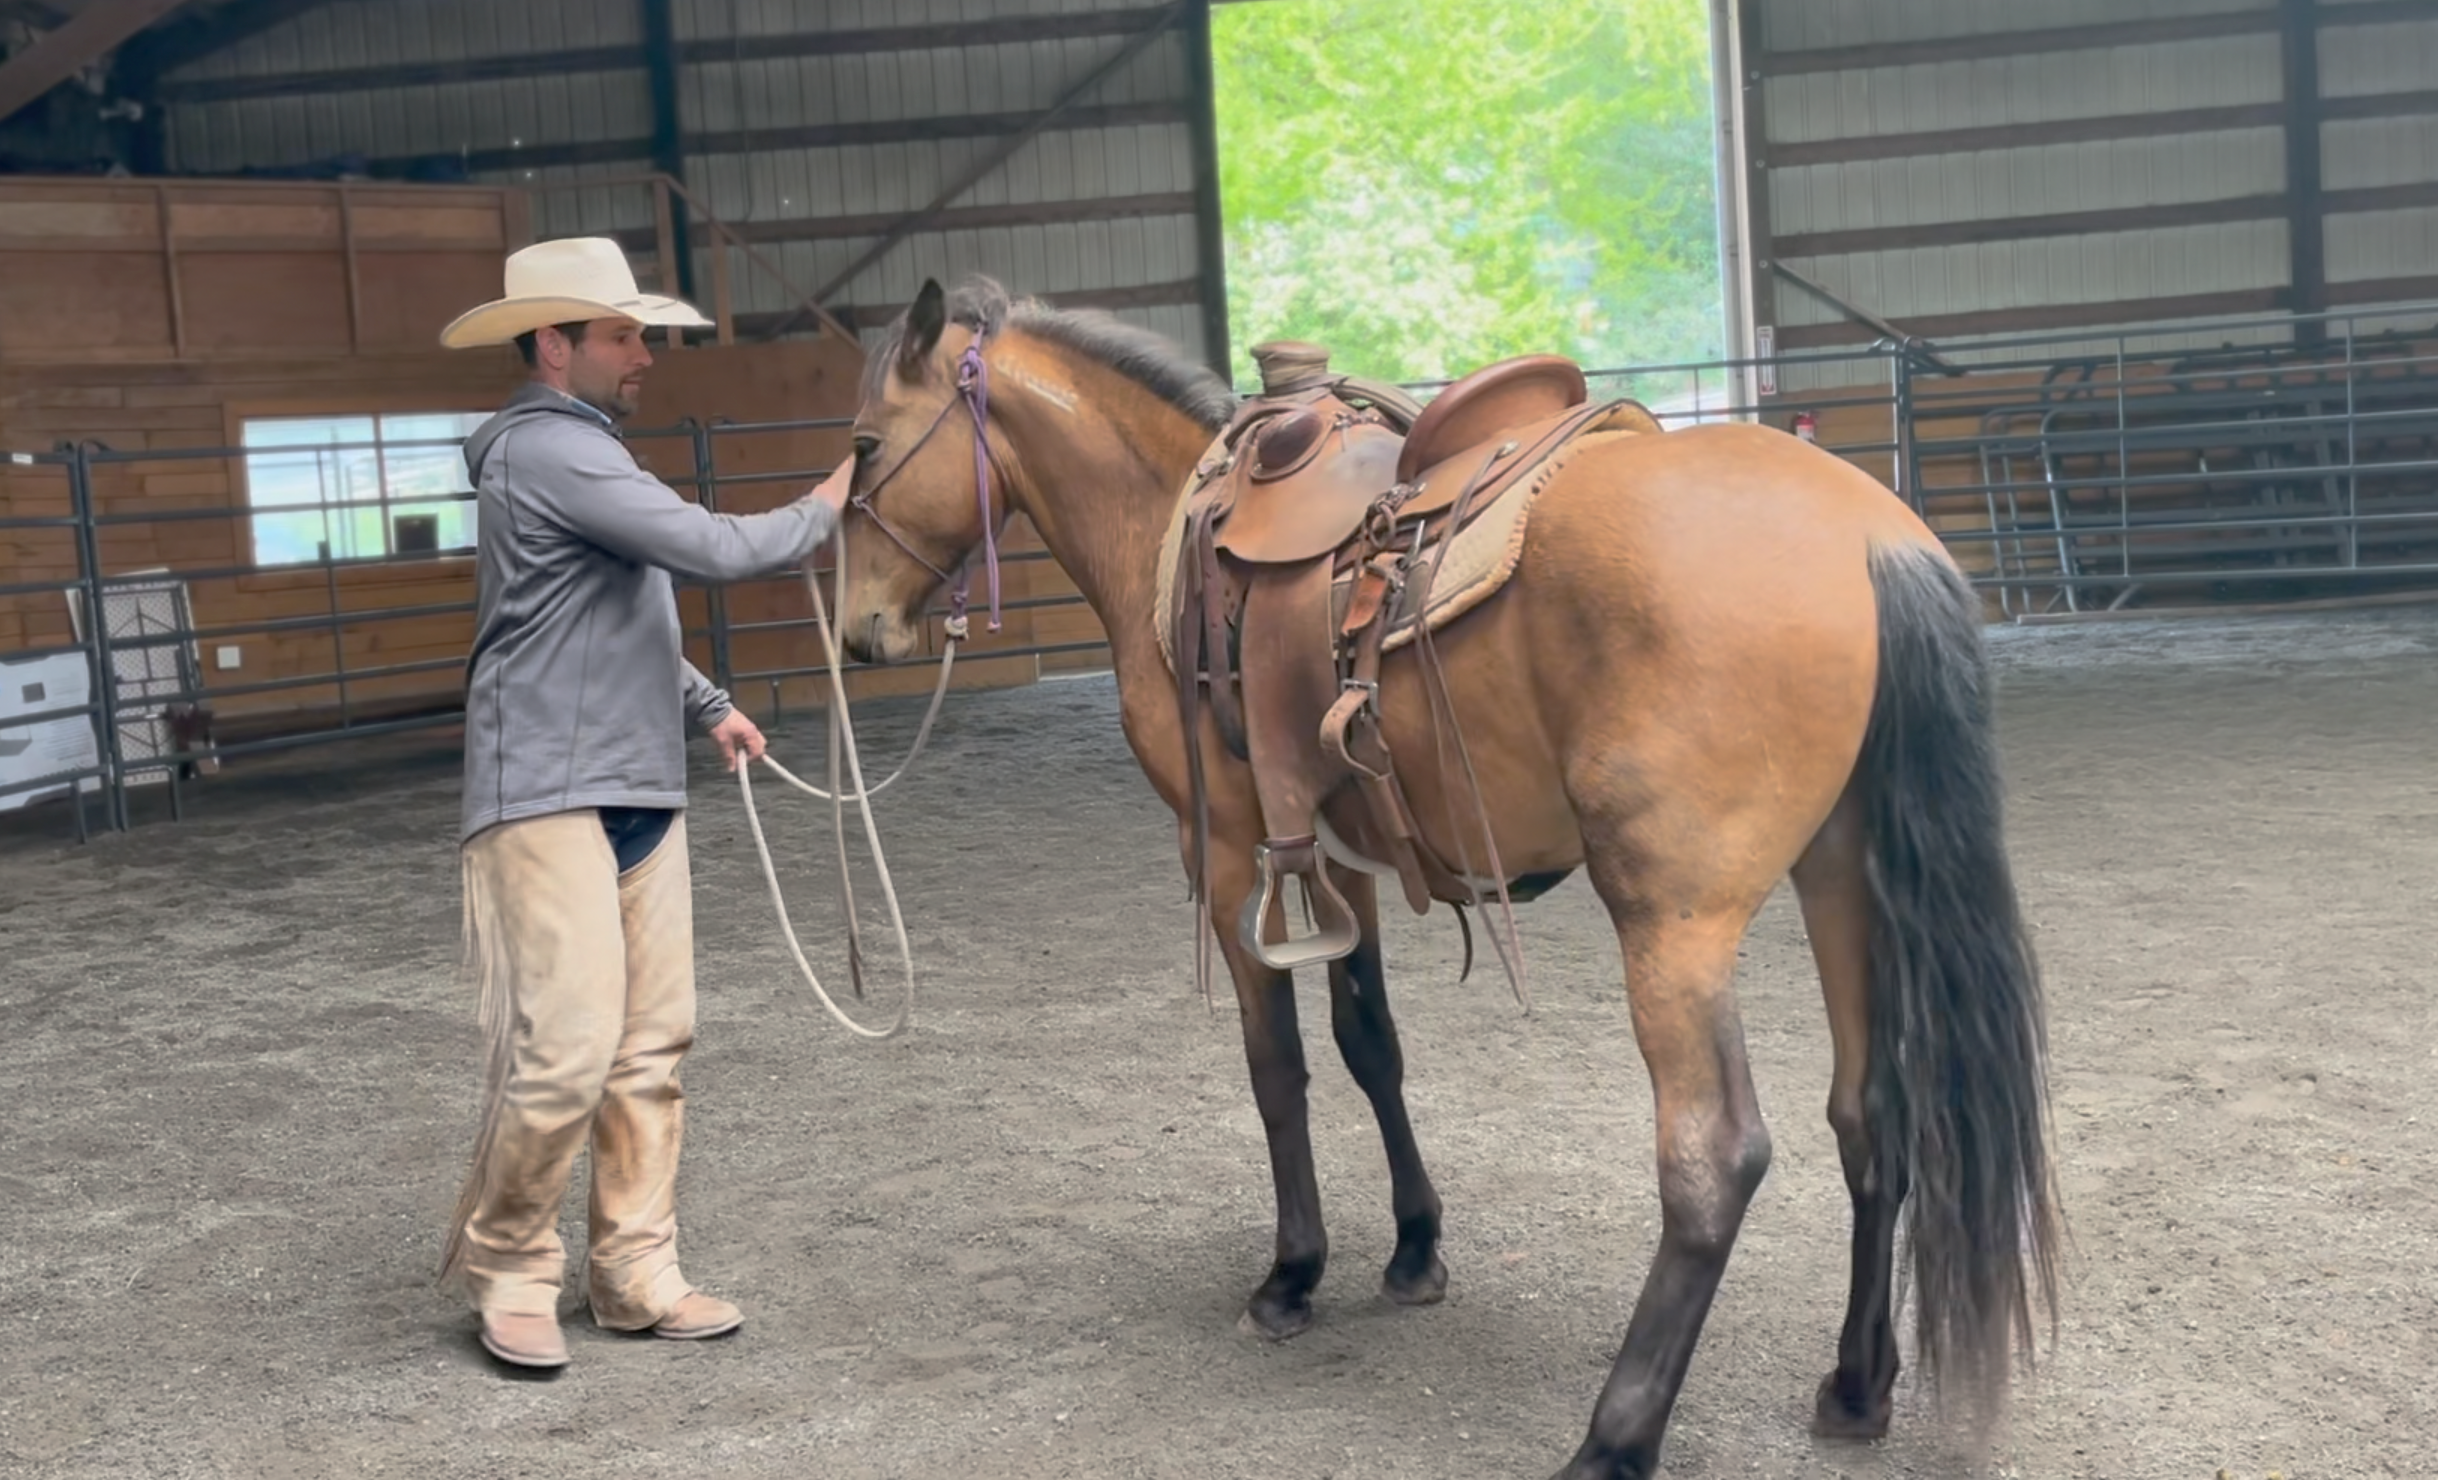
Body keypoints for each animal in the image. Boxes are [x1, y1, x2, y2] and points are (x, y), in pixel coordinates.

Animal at [828, 275, 2067, 1472]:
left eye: (864, 444)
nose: (857, 632)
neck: (1172, 519)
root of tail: (1864, 535)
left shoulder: (1224, 851)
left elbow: (1276, 1067)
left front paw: (1291, 1273)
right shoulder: (1337, 852)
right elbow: (1369, 1043)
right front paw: (1413, 1246)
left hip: (1673, 918)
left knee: (1712, 1160)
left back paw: (1612, 1437)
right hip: (1841, 877)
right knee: (1870, 1112)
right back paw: (1855, 1384)